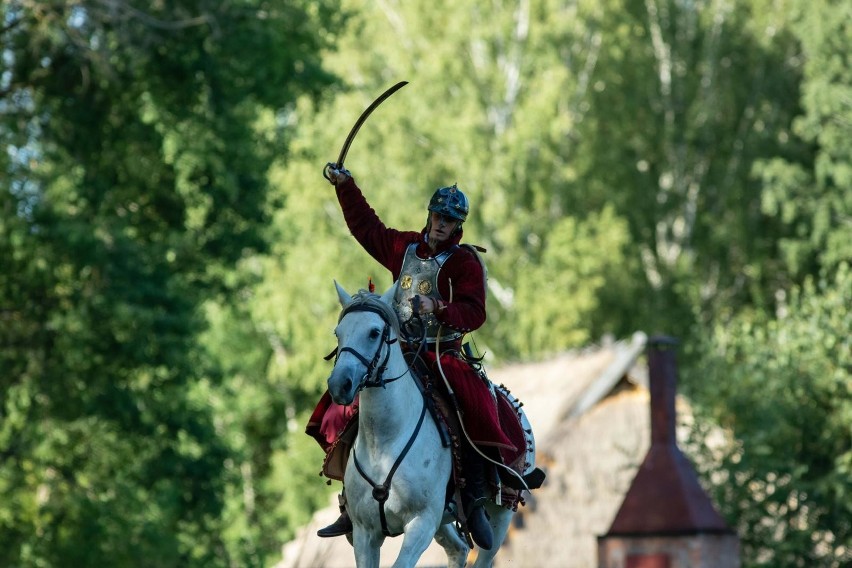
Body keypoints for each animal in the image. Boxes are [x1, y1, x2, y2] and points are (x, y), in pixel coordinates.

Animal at [326, 282, 516, 568]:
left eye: (374, 332)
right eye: (339, 333)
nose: (339, 384)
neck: (384, 442)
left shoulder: (421, 522)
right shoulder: (364, 532)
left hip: (500, 516)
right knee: (458, 549)